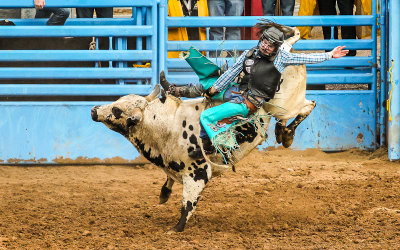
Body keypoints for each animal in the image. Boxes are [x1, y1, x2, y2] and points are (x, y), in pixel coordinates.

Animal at [91, 27, 316, 232]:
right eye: (118, 101)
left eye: (117, 110)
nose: (94, 110)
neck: (165, 127)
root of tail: (286, 50)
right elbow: (168, 182)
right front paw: (164, 194)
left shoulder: (197, 172)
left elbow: (188, 204)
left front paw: (176, 228)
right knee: (304, 107)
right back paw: (283, 132)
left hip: (287, 102)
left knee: (307, 105)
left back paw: (286, 134)